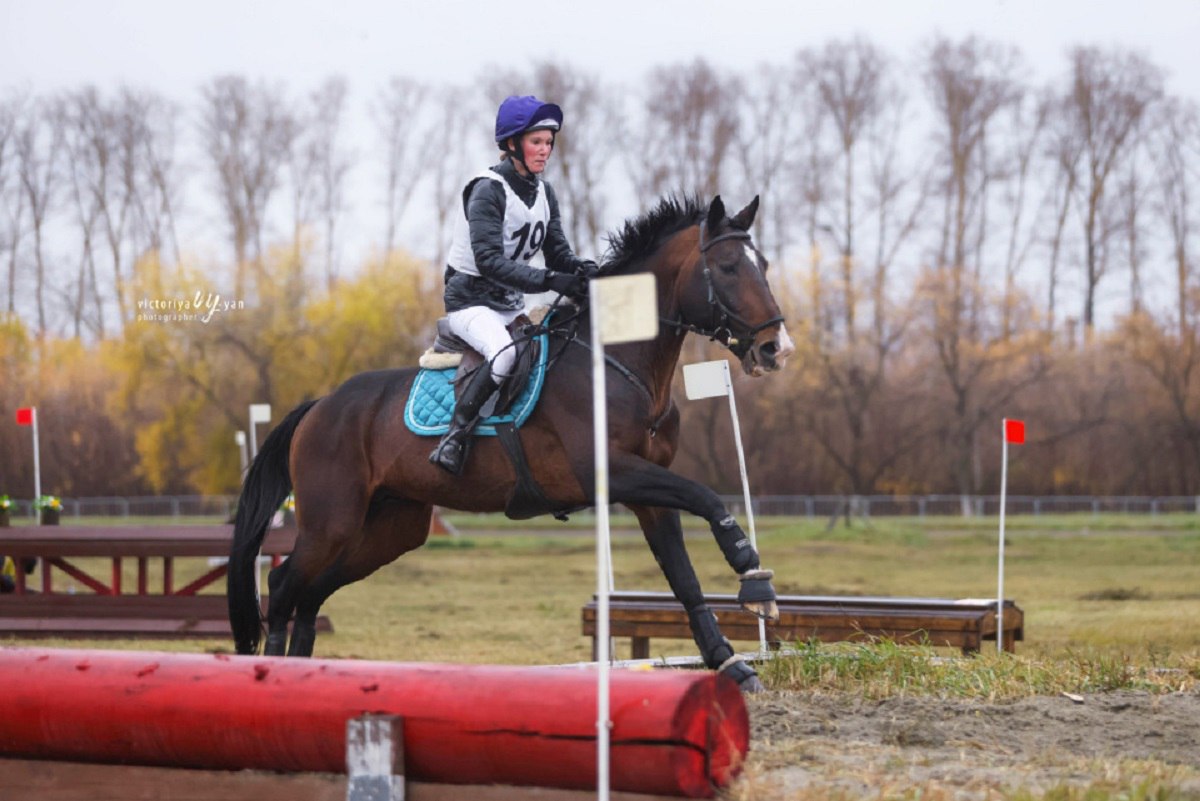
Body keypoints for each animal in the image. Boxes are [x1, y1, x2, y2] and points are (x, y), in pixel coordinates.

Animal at [230, 191, 801, 690]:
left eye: (765, 264)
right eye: (727, 268)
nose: (776, 348)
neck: (621, 365)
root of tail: (319, 406)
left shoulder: (646, 493)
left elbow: (683, 575)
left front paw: (731, 664)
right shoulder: (614, 473)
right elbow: (707, 498)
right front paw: (754, 577)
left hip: (388, 529)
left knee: (311, 595)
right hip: (332, 523)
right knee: (283, 587)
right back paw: (273, 674)